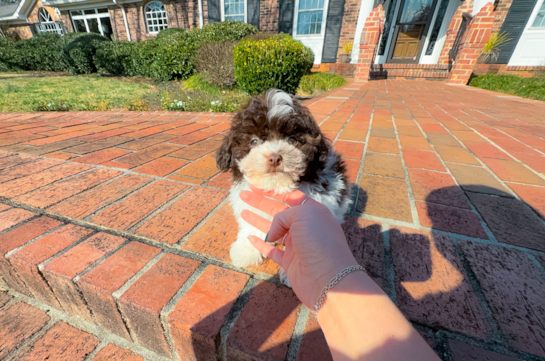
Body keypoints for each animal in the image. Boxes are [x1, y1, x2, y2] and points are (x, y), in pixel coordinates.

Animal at [217, 88, 352, 284]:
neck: (277, 187)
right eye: (254, 141)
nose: (274, 157)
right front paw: (246, 250)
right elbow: (252, 224)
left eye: (291, 139)